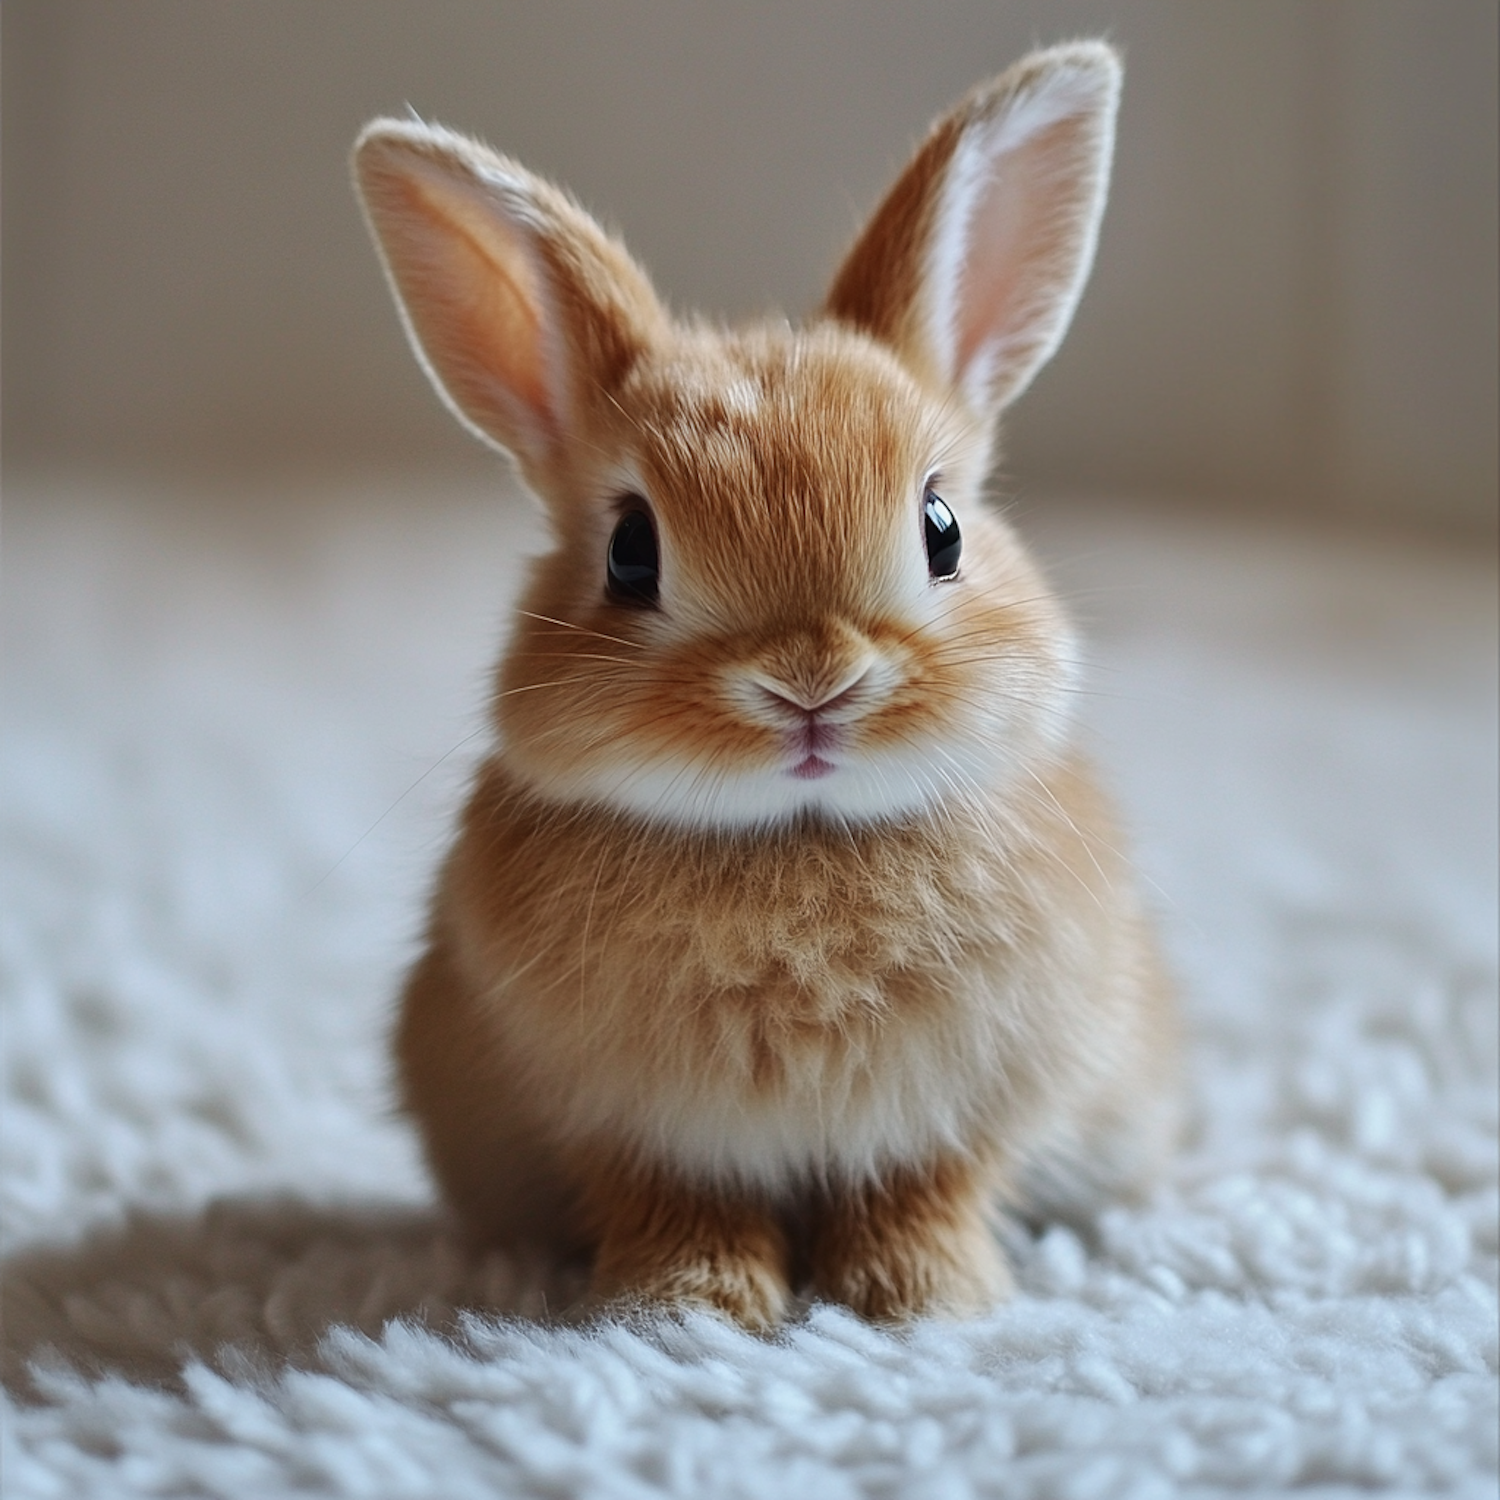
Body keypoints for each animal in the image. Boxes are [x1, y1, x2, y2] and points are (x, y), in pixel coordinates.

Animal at [351, 41, 1170, 1332]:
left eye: (942, 528)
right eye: (631, 552)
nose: (811, 685)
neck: (799, 839)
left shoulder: (961, 1116)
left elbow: (926, 1193)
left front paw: (925, 1301)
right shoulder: (629, 1130)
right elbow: (675, 1203)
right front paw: (683, 1309)